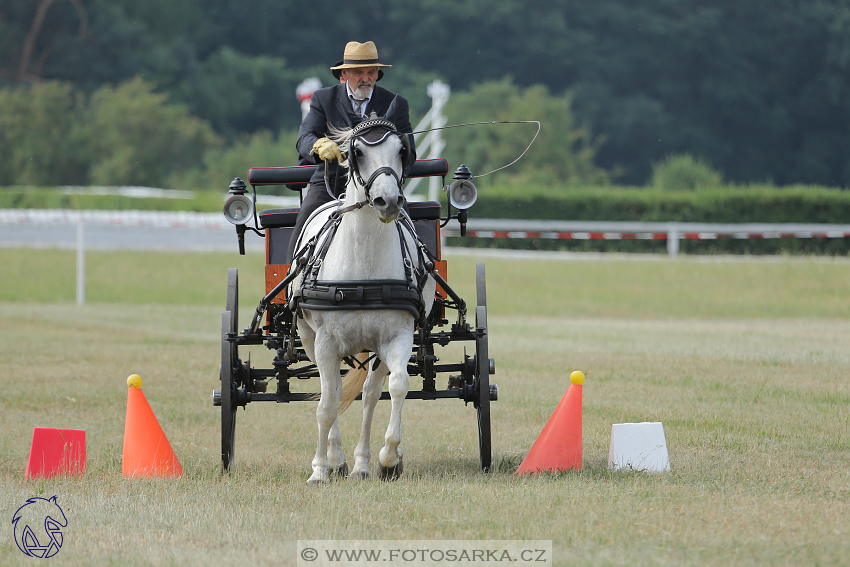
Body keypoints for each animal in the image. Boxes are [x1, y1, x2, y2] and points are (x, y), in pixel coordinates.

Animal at [292, 117, 438, 486]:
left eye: (402, 150)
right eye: (357, 151)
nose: (388, 201)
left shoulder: (397, 336)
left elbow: (397, 387)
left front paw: (388, 457)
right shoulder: (325, 342)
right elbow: (327, 404)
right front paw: (320, 469)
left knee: (370, 394)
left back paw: (361, 464)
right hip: (309, 338)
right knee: (331, 390)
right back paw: (337, 459)